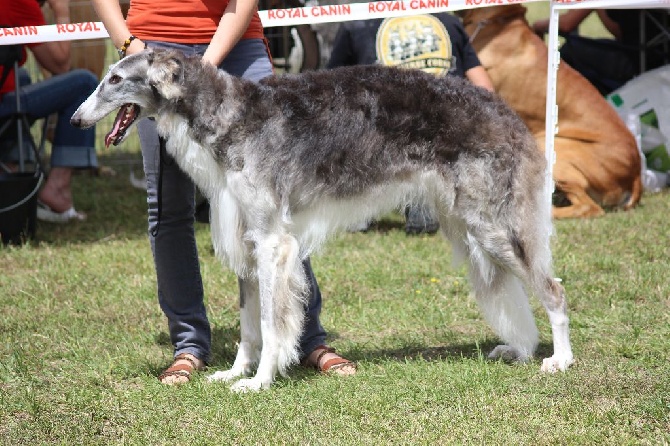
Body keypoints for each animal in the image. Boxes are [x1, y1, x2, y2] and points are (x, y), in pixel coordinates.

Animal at [73, 48, 576, 390]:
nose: (77, 120)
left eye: (115, 79)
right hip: (471, 224)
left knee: (552, 290)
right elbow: (249, 329)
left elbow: (271, 325)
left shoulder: (272, 242)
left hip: (493, 225)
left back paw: (560, 360)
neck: (229, 113)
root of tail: (508, 113)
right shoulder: (248, 241)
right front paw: (234, 373)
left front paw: (260, 382)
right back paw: (522, 349)